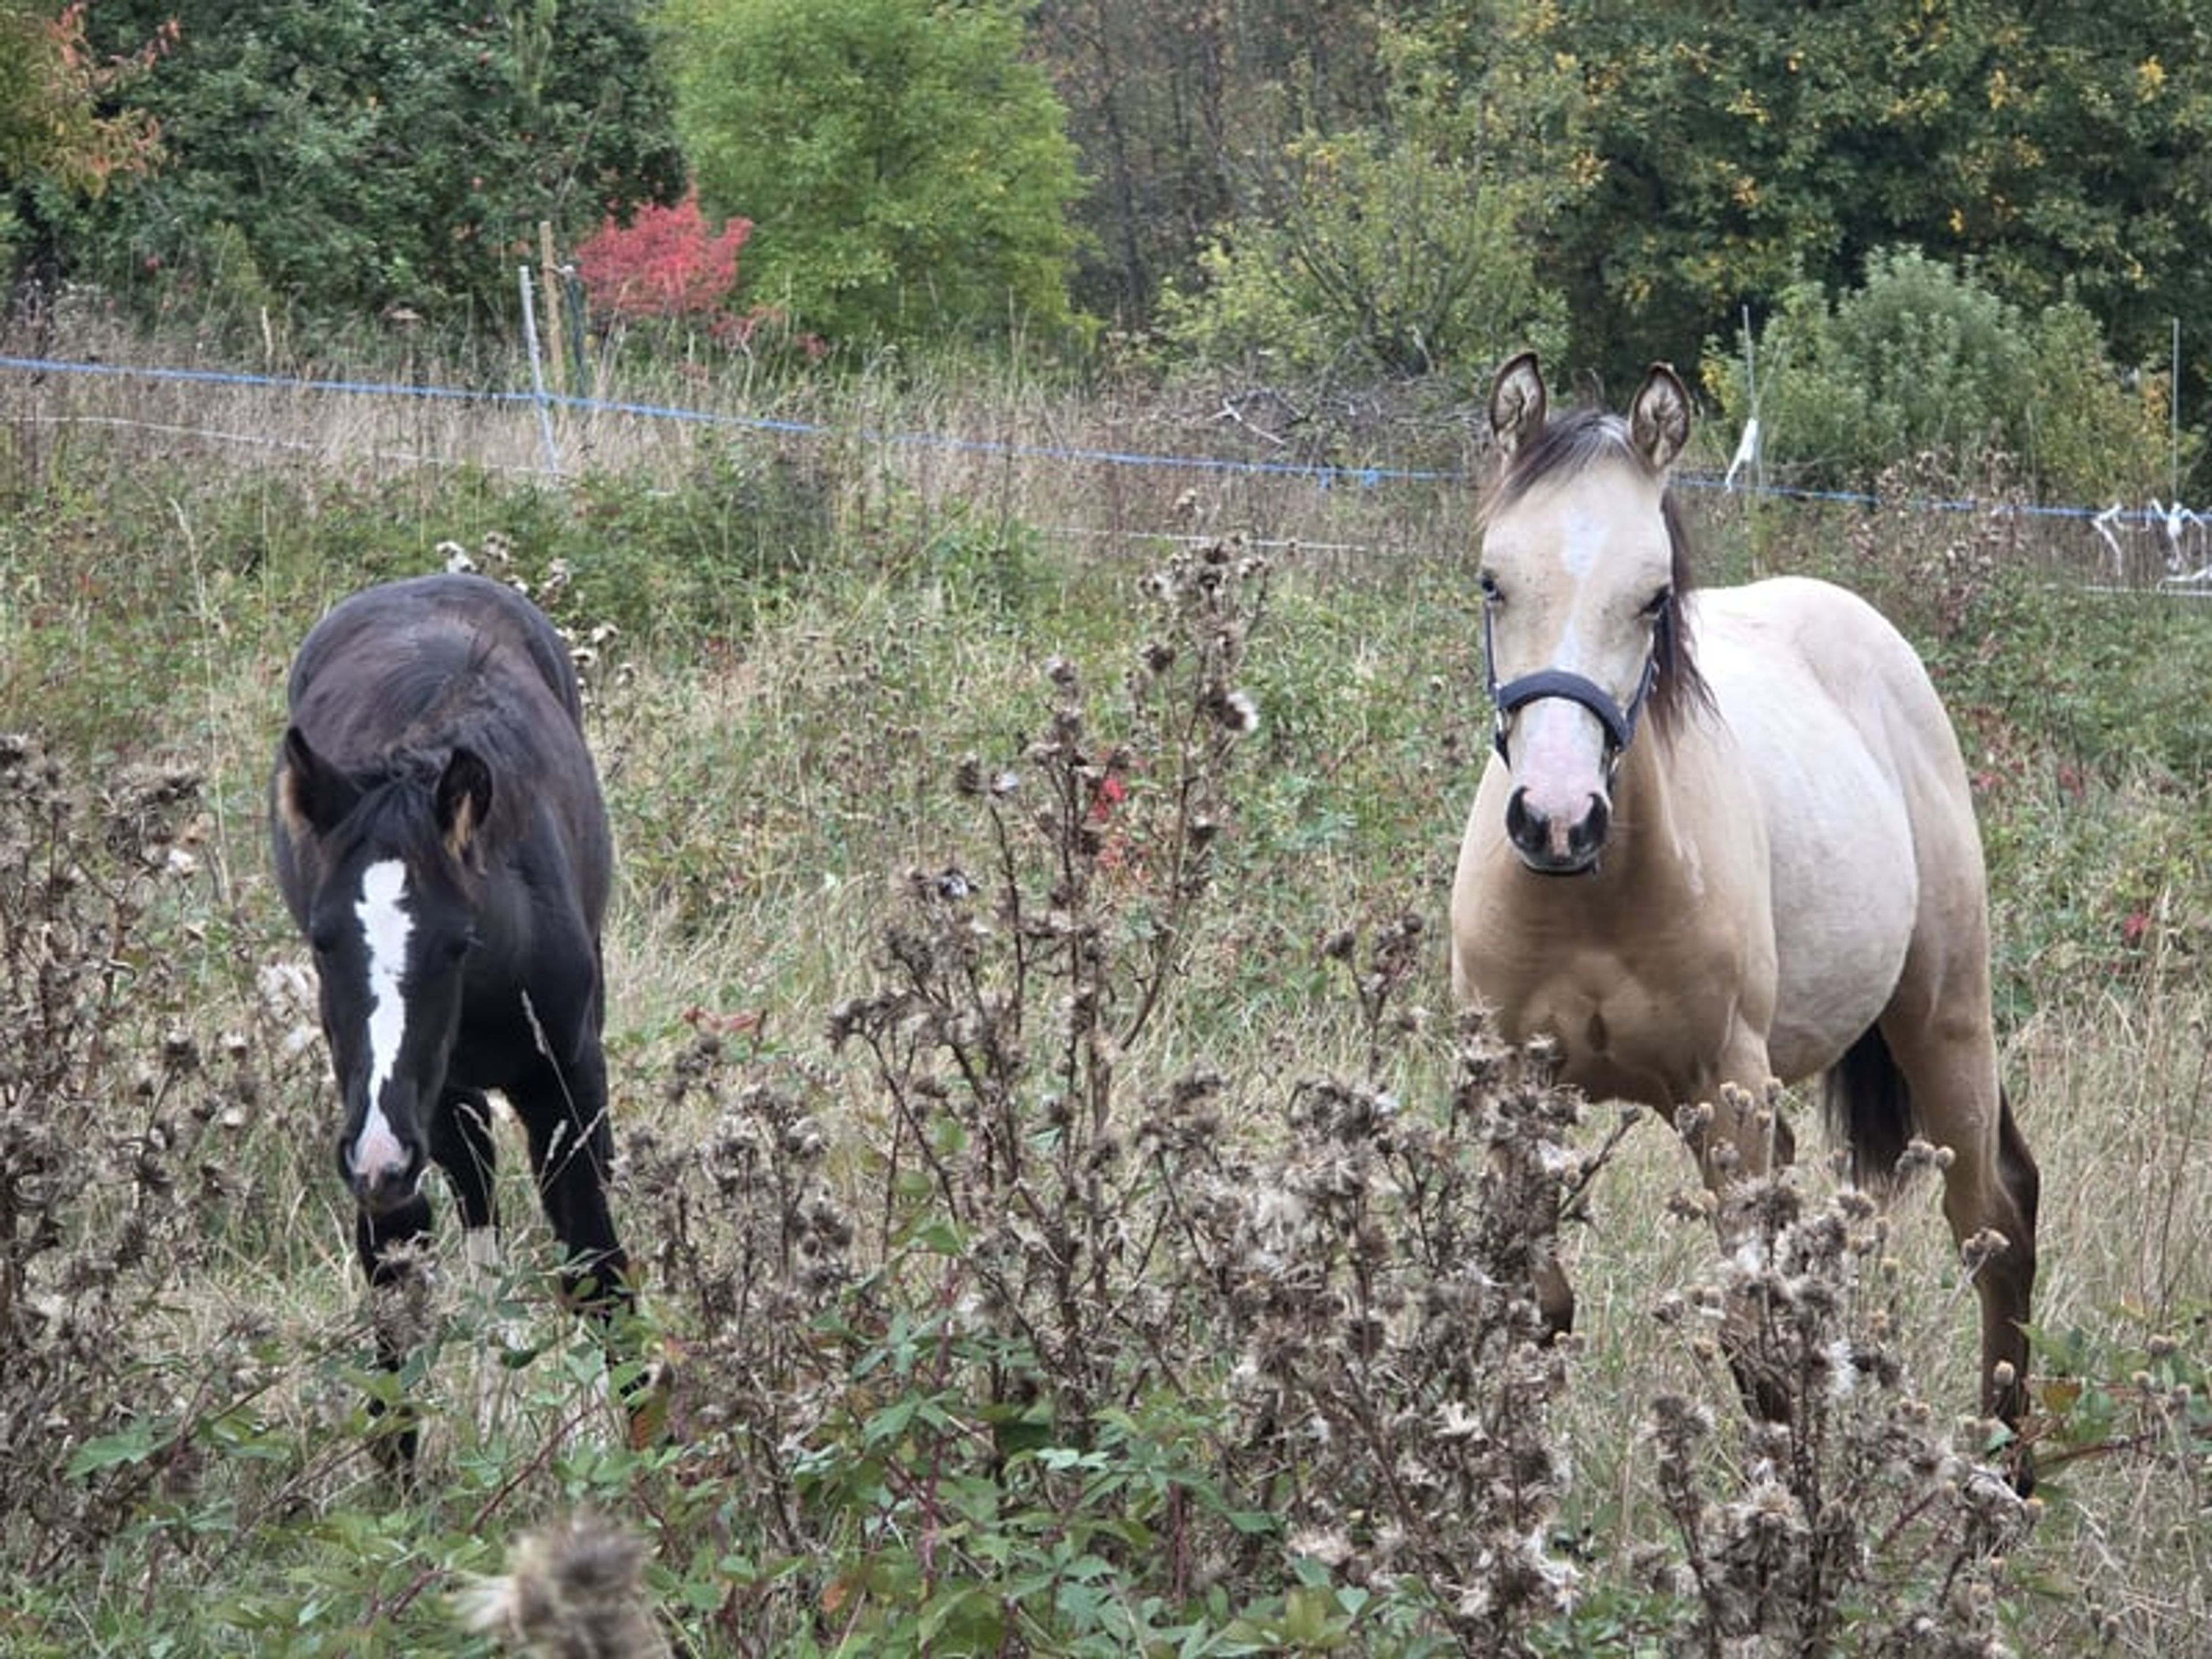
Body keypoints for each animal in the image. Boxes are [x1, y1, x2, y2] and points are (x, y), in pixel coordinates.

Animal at [271, 572, 640, 1467]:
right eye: (322, 938)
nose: (375, 1157)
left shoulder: (569, 1076)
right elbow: (397, 1266)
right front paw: (398, 1477)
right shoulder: (406, 1105)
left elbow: (596, 1266)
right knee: (464, 1192)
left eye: (457, 941)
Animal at [1448, 352, 2039, 1445]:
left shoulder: (1725, 1088)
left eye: (1654, 597)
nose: (1558, 818)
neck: (1599, 894)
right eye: (1492, 580)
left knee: (1996, 1222)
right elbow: (1536, 1309)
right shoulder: (1515, 1089)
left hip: (1943, 1018)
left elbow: (1754, 1340)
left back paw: (2001, 1472)